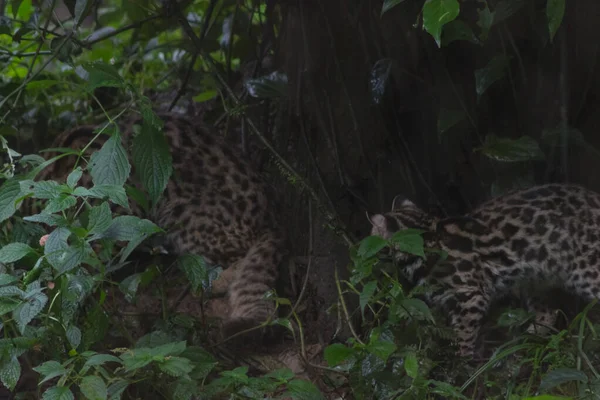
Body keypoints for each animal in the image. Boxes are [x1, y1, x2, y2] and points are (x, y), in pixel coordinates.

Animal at [368, 184, 600, 356]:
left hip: (586, 270)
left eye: (370, 234)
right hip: (535, 279)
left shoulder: (471, 296)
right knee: (547, 315)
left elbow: (463, 335)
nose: (362, 250)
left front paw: (462, 366)